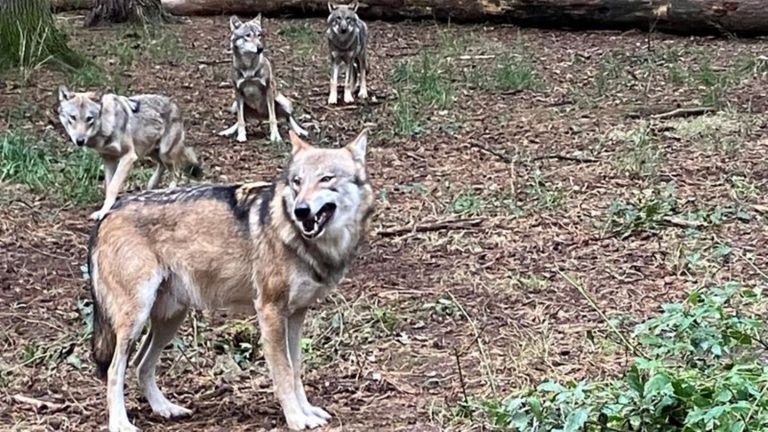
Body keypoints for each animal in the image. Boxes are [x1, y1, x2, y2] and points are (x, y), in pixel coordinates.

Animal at [57, 85, 202, 219]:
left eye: (89, 118)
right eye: (73, 117)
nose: (80, 140)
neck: (107, 125)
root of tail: (174, 103)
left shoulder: (129, 157)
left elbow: (113, 187)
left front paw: (103, 212)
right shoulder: (108, 159)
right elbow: (108, 186)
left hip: (164, 153)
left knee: (176, 174)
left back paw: (169, 192)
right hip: (151, 152)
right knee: (162, 167)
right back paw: (152, 186)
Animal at [87, 129, 376, 432]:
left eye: (326, 178)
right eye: (297, 182)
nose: (301, 210)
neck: (300, 239)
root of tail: (107, 214)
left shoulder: (297, 314)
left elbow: (296, 368)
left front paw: (308, 411)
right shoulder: (270, 311)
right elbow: (284, 372)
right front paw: (297, 419)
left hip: (171, 318)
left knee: (141, 364)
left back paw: (165, 408)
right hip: (136, 319)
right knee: (115, 370)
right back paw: (121, 423)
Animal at [218, 14, 308, 143]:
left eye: (259, 35)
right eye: (247, 35)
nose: (260, 48)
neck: (249, 68)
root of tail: (261, 116)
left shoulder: (269, 89)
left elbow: (273, 118)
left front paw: (276, 137)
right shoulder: (238, 92)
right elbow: (240, 120)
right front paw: (241, 136)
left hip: (282, 101)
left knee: (288, 117)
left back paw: (300, 131)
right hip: (235, 105)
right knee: (242, 118)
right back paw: (228, 131)